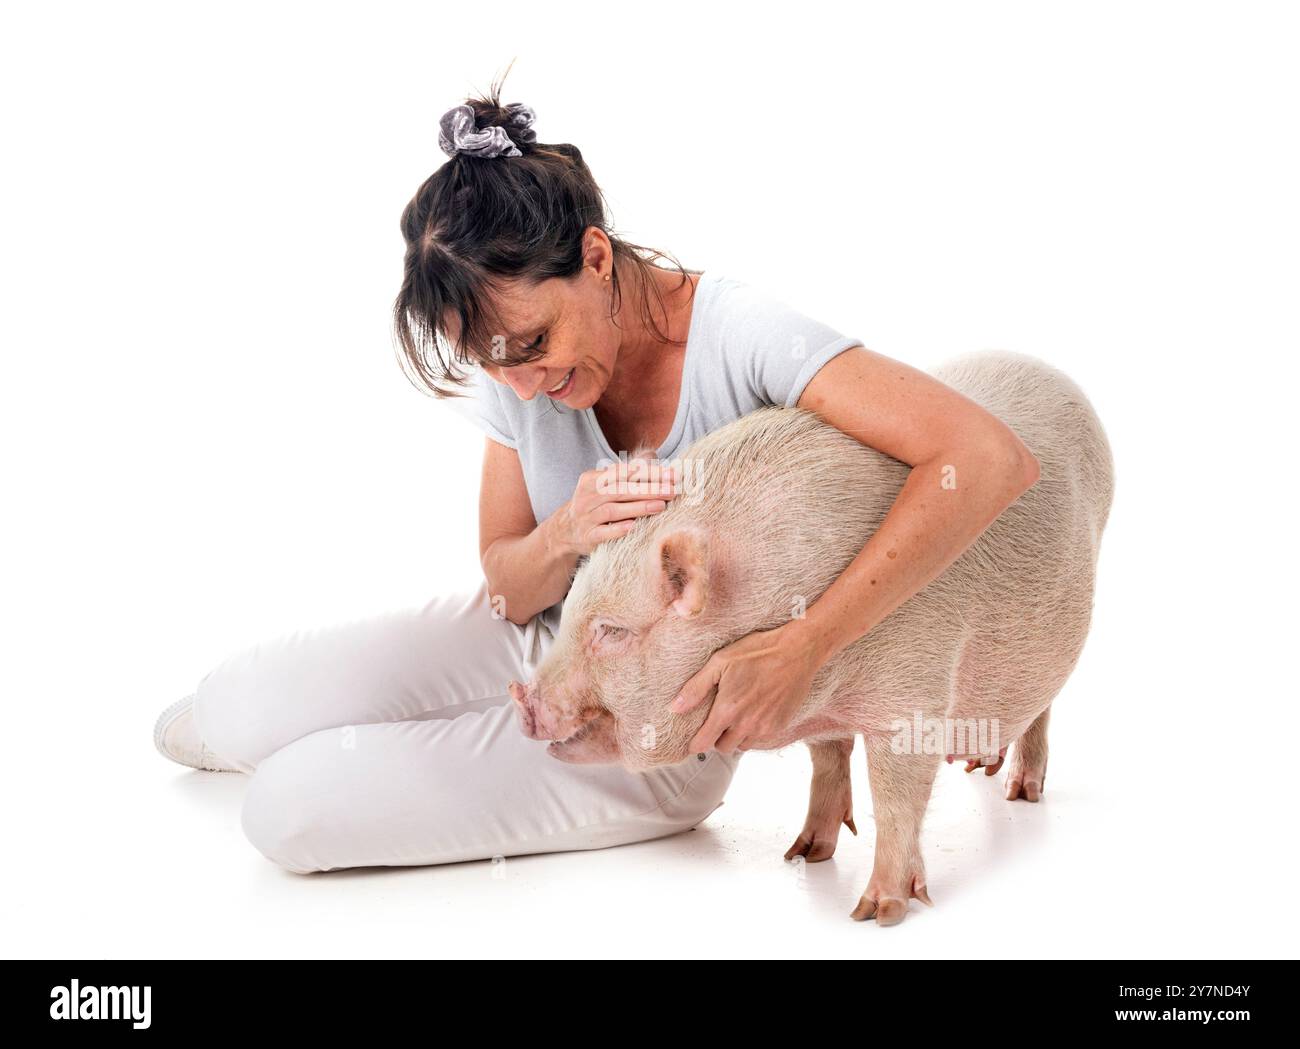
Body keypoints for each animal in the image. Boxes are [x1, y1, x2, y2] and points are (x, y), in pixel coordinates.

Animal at [501, 350, 1112, 925]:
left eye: (611, 631)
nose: (521, 697)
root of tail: (1059, 375)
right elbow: (827, 756)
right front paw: (804, 855)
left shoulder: (916, 690)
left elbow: (897, 793)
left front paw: (876, 912)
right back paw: (980, 769)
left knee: (1045, 703)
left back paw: (1020, 792)